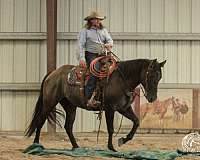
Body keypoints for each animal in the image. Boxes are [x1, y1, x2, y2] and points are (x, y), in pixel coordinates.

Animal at [25, 58, 166, 151]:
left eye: (159, 77)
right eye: (150, 75)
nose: (152, 98)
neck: (122, 80)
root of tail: (52, 73)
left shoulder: (124, 108)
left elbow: (136, 122)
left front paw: (122, 140)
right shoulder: (110, 109)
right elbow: (111, 128)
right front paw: (111, 147)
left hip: (70, 106)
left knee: (68, 126)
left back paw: (76, 147)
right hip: (49, 103)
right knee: (40, 121)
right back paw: (36, 145)